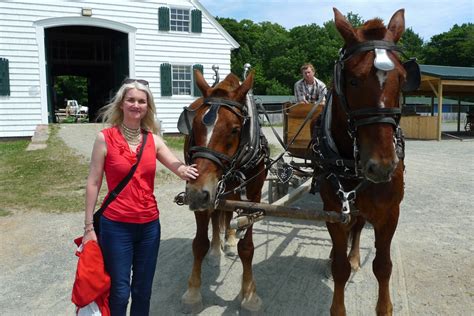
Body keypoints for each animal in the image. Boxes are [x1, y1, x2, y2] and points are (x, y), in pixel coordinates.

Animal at [179, 69, 268, 314]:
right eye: (194, 127)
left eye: (235, 129)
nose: (197, 193)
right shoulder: (201, 193)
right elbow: (199, 243)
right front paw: (193, 292)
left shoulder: (253, 198)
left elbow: (246, 248)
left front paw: (249, 294)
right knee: (218, 215)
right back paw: (217, 250)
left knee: (226, 215)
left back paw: (228, 241)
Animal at [314, 8, 418, 314]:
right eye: (352, 80)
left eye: (402, 78)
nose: (381, 166)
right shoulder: (333, 210)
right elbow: (339, 268)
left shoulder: (389, 214)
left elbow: (383, 267)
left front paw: (384, 307)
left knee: (359, 226)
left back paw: (355, 255)